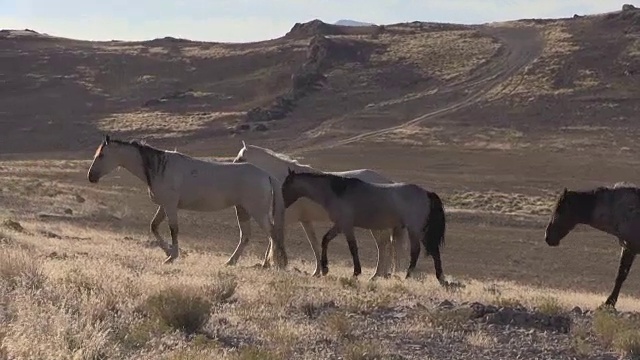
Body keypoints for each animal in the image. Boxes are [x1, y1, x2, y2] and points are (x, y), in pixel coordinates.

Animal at [87, 136, 288, 268]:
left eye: (101, 155)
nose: (91, 176)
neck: (160, 167)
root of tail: (266, 175)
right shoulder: (164, 206)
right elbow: (154, 226)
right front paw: (168, 252)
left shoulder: (170, 206)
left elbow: (173, 230)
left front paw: (172, 256)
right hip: (242, 210)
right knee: (247, 236)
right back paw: (232, 262)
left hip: (257, 211)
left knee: (272, 234)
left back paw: (272, 263)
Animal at [234, 141, 404, 278]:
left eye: (241, 158)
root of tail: (386, 182)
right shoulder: (305, 221)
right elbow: (314, 244)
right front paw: (318, 271)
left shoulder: (283, 220)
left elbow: (273, 240)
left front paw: (268, 264)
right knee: (385, 244)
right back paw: (381, 275)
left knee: (383, 245)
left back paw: (377, 275)